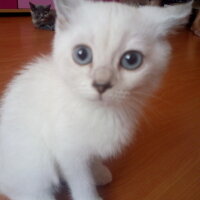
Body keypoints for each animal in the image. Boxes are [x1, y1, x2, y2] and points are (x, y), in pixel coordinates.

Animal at [0, 0, 192, 200]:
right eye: (82, 54)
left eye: (131, 59)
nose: (101, 84)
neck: (103, 112)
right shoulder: (68, 152)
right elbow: (82, 181)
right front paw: (90, 195)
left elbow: (93, 157)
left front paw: (98, 171)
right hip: (36, 166)